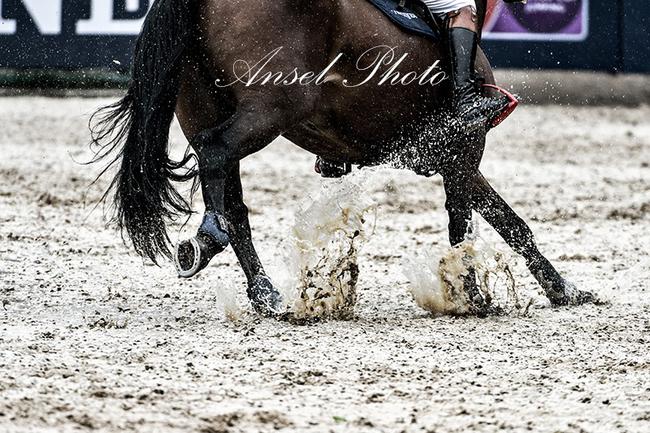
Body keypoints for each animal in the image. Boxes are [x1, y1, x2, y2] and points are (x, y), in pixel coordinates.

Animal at [91, 0, 594, 316]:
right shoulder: (464, 150)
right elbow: (464, 226)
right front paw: (470, 295)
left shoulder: (457, 158)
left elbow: (510, 224)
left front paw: (563, 290)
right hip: (270, 109)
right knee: (216, 157)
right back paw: (211, 238)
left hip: (210, 108)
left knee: (232, 199)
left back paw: (264, 293)